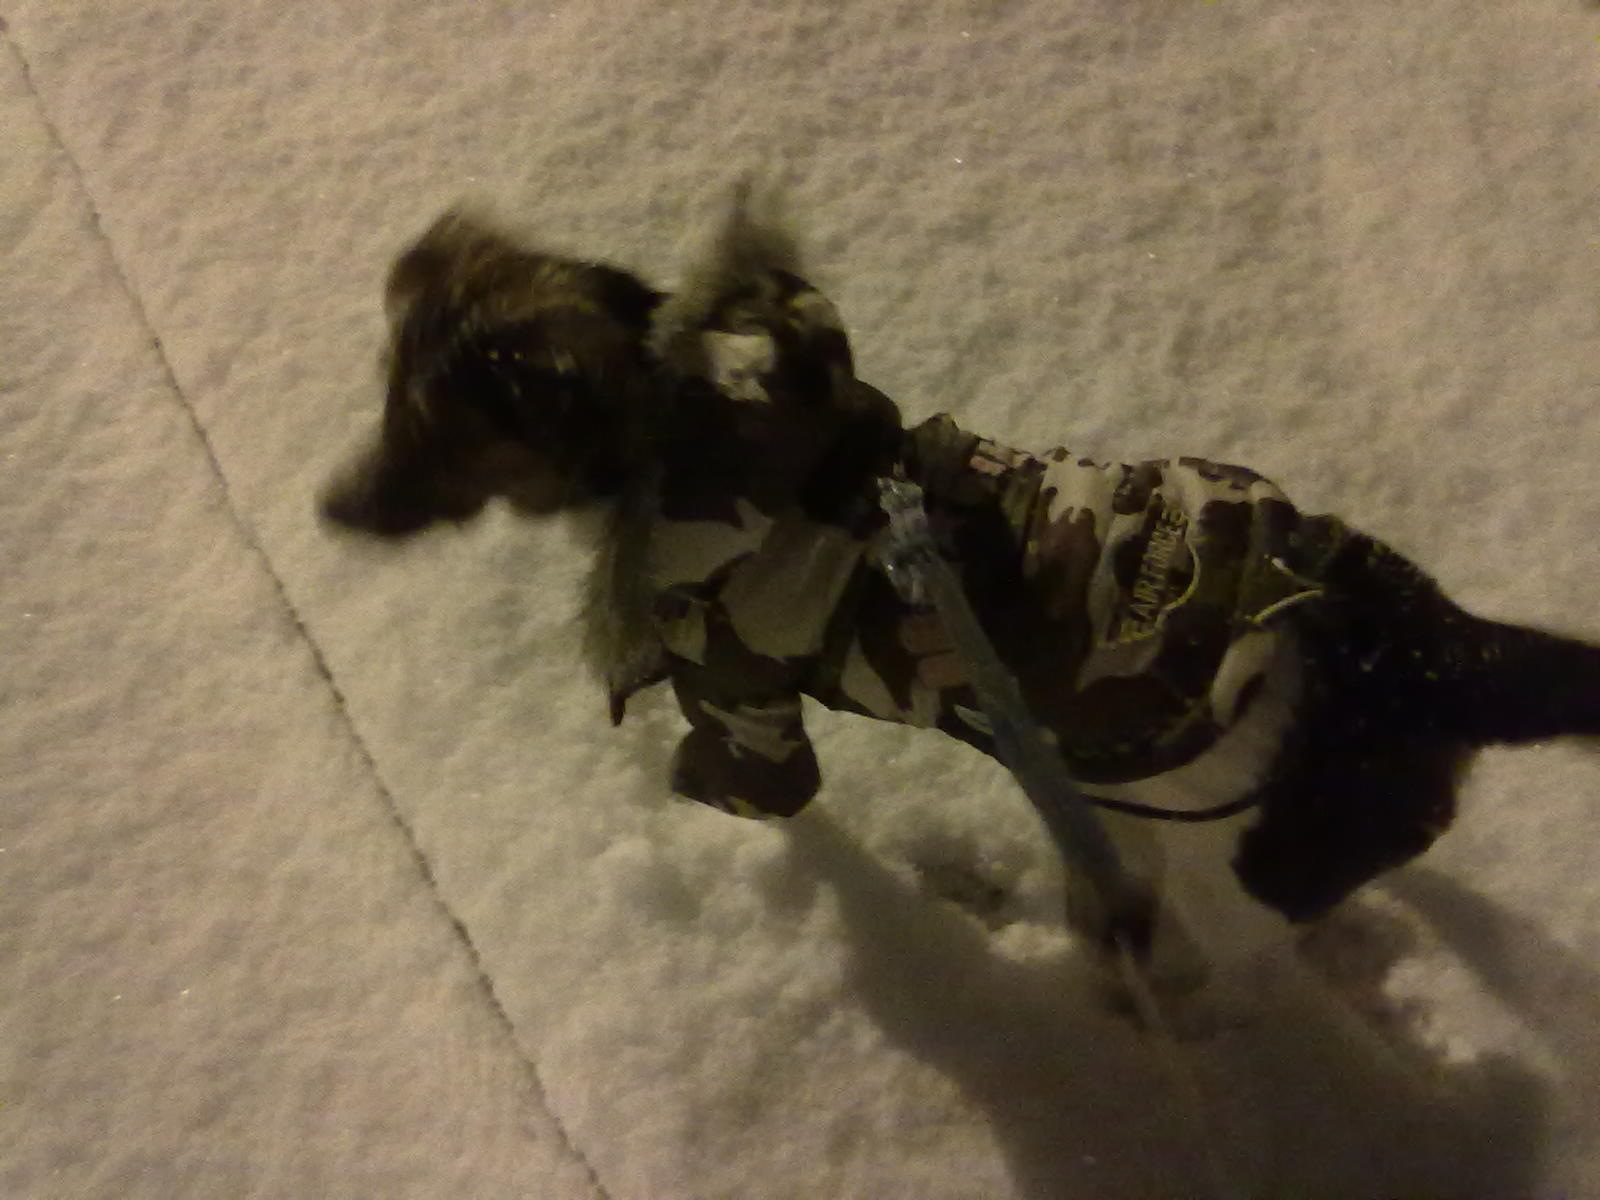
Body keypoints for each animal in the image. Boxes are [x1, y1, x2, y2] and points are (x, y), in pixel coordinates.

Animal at [322, 196, 1600, 927]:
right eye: (382, 394)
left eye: (426, 436)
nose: (325, 512)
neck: (689, 431)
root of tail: (1426, 644)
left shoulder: (746, 710)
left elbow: (755, 792)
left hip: (1238, 837)